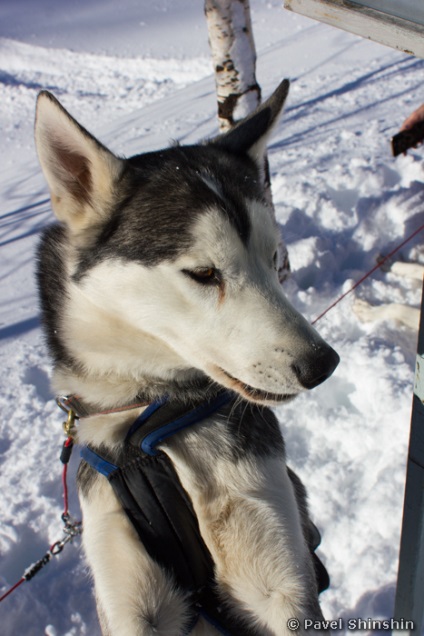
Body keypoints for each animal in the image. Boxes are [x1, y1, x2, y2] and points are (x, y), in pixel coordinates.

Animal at [35, 80, 342, 636]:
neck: (152, 422)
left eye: (273, 260)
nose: (322, 364)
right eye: (203, 273)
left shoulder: (279, 579)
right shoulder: (130, 600)